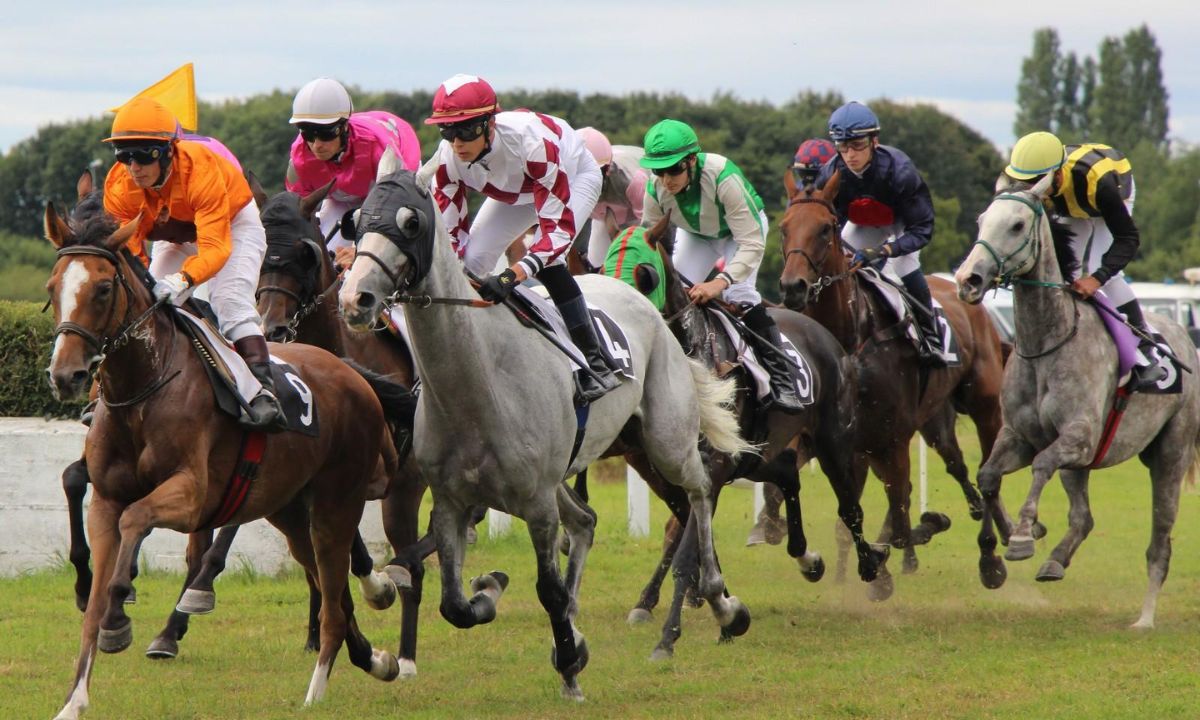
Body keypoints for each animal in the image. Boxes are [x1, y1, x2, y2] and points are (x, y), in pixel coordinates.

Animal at [42, 207, 408, 720]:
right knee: (332, 592)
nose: (66, 375)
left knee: (336, 599)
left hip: (336, 504)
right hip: (289, 512)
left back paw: (316, 690)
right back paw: (375, 659)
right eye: (53, 287)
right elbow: (93, 597)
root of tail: (352, 374)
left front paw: (120, 613)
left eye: (102, 288)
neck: (146, 388)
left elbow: (137, 520)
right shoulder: (106, 500)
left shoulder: (192, 496)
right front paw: (74, 699)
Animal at [336, 151, 748, 696]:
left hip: (665, 439)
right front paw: (492, 590)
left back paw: (723, 602)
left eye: (410, 223)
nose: (355, 300)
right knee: (588, 521)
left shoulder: (534, 503)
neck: (479, 382)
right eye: (357, 222)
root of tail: (643, 300)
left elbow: (547, 590)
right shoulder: (450, 501)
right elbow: (455, 606)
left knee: (698, 492)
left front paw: (570, 665)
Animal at [614, 213, 888, 652]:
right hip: (756, 453)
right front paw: (723, 615)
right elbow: (691, 543)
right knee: (788, 472)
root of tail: (825, 334)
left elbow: (687, 553)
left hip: (833, 442)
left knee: (849, 507)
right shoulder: (696, 468)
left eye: (643, 274)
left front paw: (670, 636)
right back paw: (807, 558)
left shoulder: (711, 470)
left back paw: (870, 562)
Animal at [777, 169, 1012, 590]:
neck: (851, 341)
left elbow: (901, 523)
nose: (793, 287)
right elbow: (856, 510)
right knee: (957, 463)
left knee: (987, 474)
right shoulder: (843, 442)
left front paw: (914, 536)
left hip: (984, 406)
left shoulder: (891, 438)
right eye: (784, 227)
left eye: (825, 228)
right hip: (934, 419)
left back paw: (991, 555)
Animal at [955, 174, 1200, 628]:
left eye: (1017, 225)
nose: (968, 280)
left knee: (1160, 542)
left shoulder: (1079, 437)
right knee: (1083, 517)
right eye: (981, 220)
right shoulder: (1019, 436)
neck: (1045, 343)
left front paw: (1022, 534)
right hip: (1082, 466)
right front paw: (997, 553)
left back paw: (1145, 618)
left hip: (1170, 454)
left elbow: (1040, 465)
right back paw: (1056, 560)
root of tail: (1182, 336)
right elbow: (988, 476)